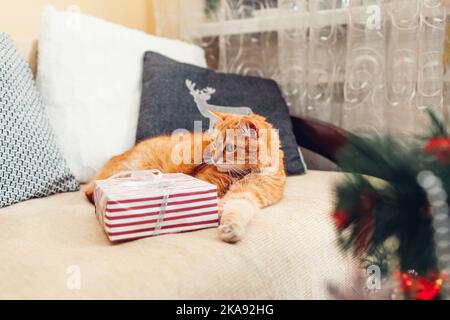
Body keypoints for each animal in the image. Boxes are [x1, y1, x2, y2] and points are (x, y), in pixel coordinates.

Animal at [86, 110, 286, 242]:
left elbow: (238, 208)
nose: (213, 158)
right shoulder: (206, 181)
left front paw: (231, 227)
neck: (243, 173)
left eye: (230, 147)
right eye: (214, 144)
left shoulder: (248, 195)